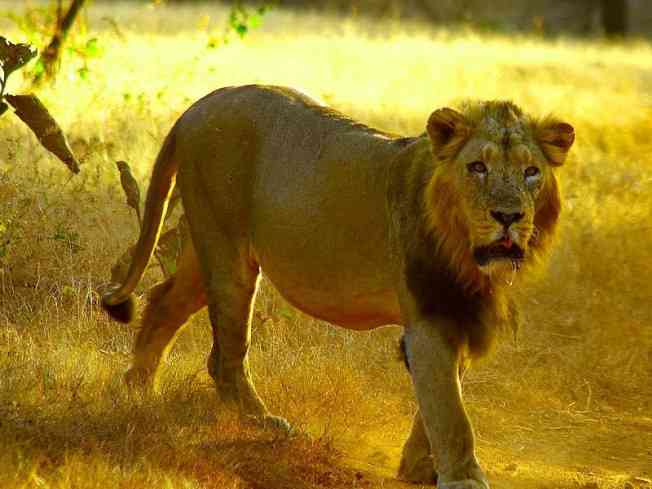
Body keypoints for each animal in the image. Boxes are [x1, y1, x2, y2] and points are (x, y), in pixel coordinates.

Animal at [101, 85, 574, 489]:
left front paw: (418, 468)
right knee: (225, 356)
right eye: (477, 167)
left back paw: (138, 390)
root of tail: (200, 104)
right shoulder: (429, 317)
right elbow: (450, 410)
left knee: (164, 301)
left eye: (531, 173)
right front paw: (462, 477)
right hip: (227, 251)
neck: (465, 252)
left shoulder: (460, 313)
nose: (508, 216)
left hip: (206, 254)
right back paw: (261, 422)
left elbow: (439, 400)